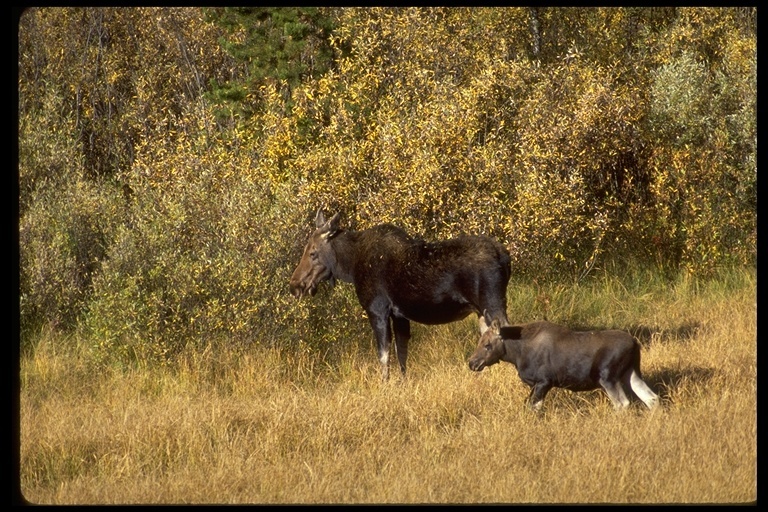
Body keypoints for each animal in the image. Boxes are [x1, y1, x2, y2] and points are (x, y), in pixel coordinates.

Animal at [288, 208, 510, 380]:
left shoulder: (377, 310)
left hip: (493, 303)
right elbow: (401, 354)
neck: (350, 265)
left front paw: (384, 385)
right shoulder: (399, 315)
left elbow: (384, 355)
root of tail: (506, 257)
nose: (295, 285)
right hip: (481, 310)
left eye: (313, 252)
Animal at [468, 320, 660, 412]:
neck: (517, 354)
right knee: (652, 398)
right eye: (479, 342)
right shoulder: (537, 384)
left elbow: (534, 408)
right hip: (631, 373)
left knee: (623, 403)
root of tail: (635, 343)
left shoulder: (545, 382)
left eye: (487, 345)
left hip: (608, 377)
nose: (472, 363)